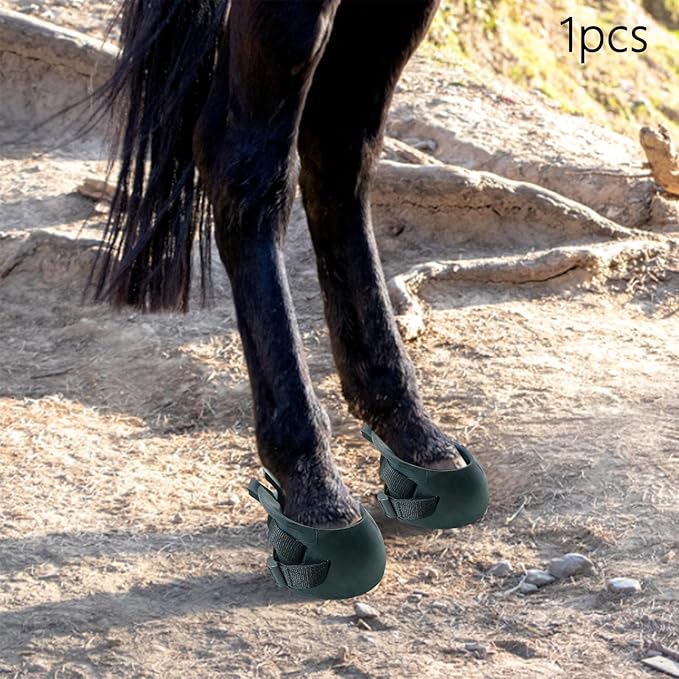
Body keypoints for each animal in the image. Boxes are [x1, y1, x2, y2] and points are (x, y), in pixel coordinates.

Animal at [94, 0, 488, 598]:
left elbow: (342, 144)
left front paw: (404, 424)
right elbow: (253, 164)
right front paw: (314, 486)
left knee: (338, 145)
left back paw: (406, 425)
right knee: (247, 159)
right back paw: (316, 479)